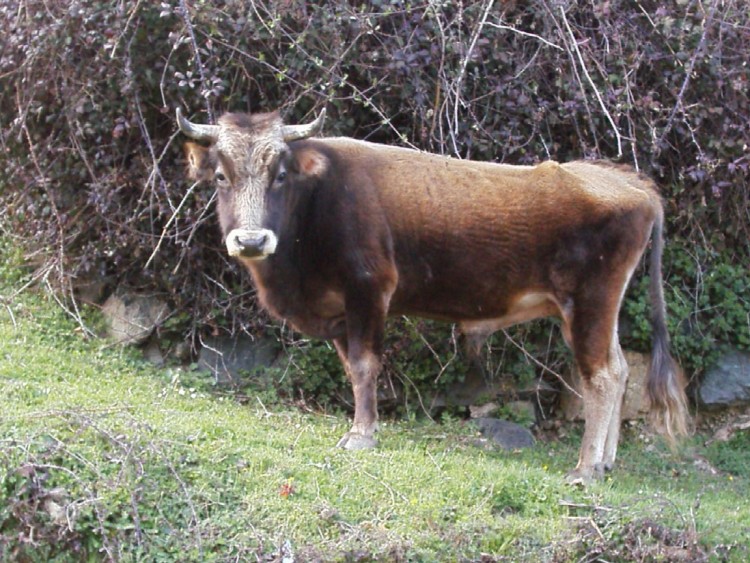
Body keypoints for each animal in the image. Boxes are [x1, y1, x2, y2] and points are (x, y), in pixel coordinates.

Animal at [176, 107, 688, 484]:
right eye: (220, 176)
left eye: (280, 175)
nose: (251, 240)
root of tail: (629, 182)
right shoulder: (339, 312)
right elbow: (351, 368)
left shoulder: (369, 289)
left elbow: (365, 364)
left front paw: (362, 435)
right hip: (594, 310)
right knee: (621, 369)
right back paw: (606, 460)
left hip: (589, 303)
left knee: (601, 376)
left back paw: (584, 469)